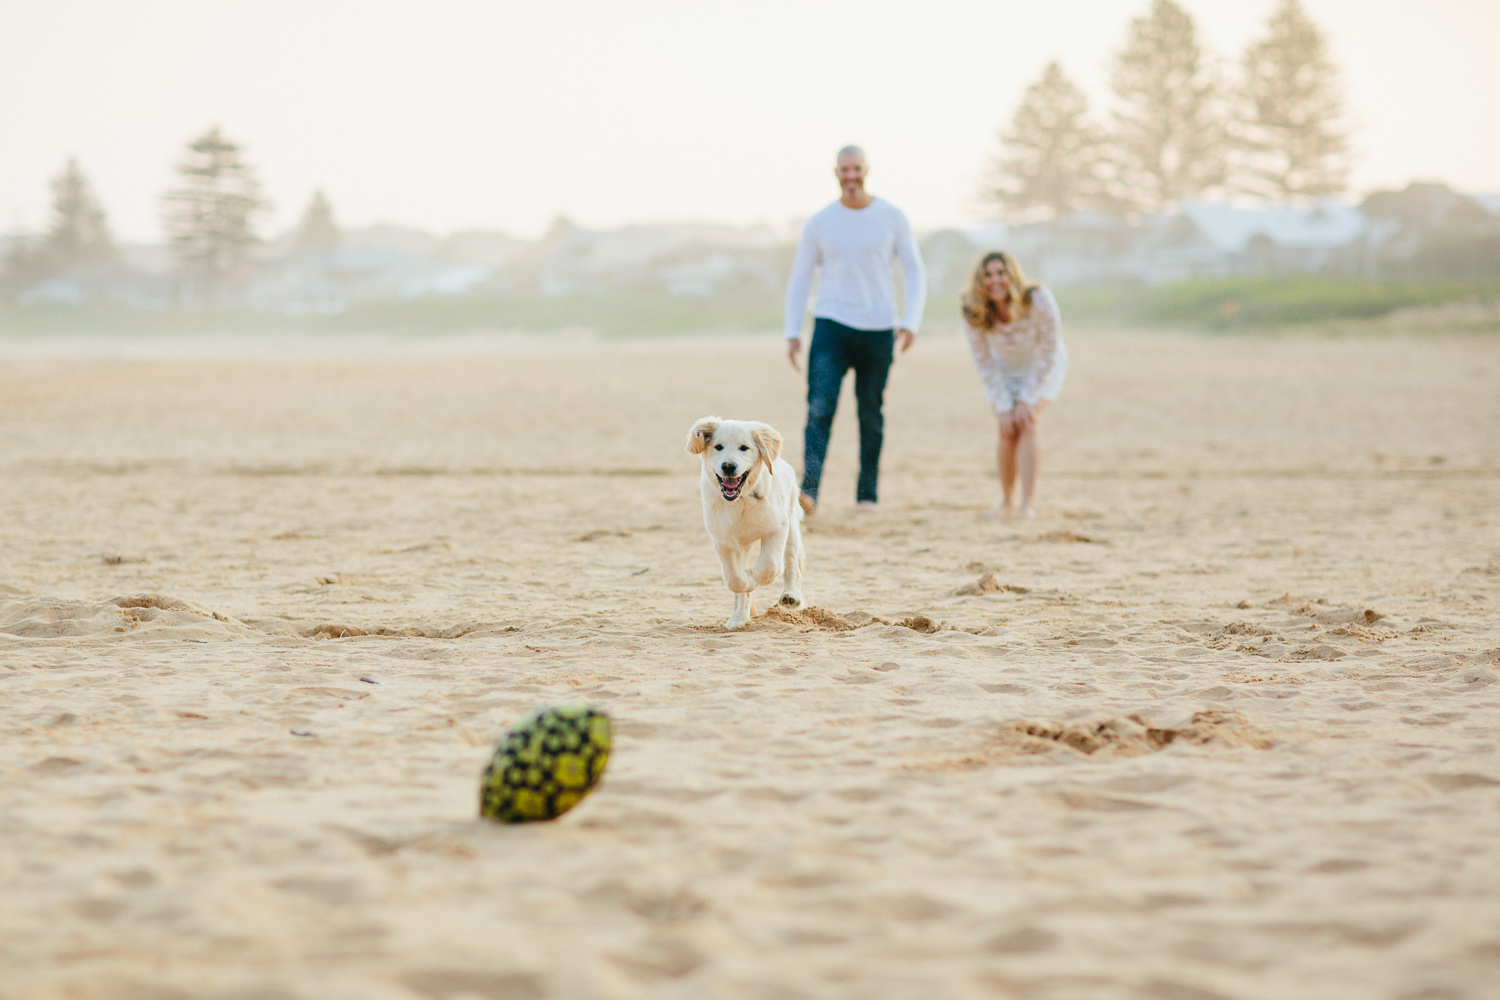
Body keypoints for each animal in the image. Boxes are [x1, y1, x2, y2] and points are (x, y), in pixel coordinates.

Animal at [687, 419, 810, 629]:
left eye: (744, 448)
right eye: (718, 447)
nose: (729, 466)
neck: (740, 500)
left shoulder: (778, 527)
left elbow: (768, 567)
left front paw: (753, 577)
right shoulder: (723, 540)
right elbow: (735, 580)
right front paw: (747, 583)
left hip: (792, 526)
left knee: (792, 563)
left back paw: (791, 596)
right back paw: (739, 617)